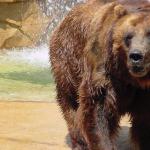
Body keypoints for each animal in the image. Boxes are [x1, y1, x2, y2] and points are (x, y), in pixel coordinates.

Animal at [49, 0, 150, 149]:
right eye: (128, 36)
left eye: (149, 35)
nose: (136, 56)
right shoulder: (104, 68)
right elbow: (96, 109)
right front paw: (103, 144)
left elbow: (144, 120)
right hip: (68, 61)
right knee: (71, 102)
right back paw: (80, 142)